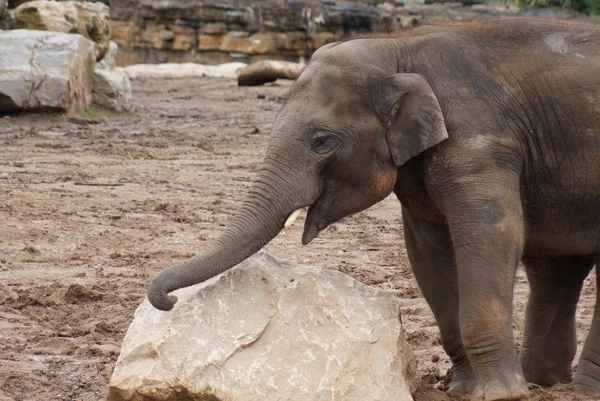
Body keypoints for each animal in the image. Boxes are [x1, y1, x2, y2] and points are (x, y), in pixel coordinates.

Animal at [148, 19, 600, 400]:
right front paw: (462, 390)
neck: (397, 49)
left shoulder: (481, 143)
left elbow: (493, 235)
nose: (167, 301)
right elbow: (427, 251)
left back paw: (570, 389)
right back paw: (546, 383)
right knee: (555, 267)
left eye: (321, 141)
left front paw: (499, 395)